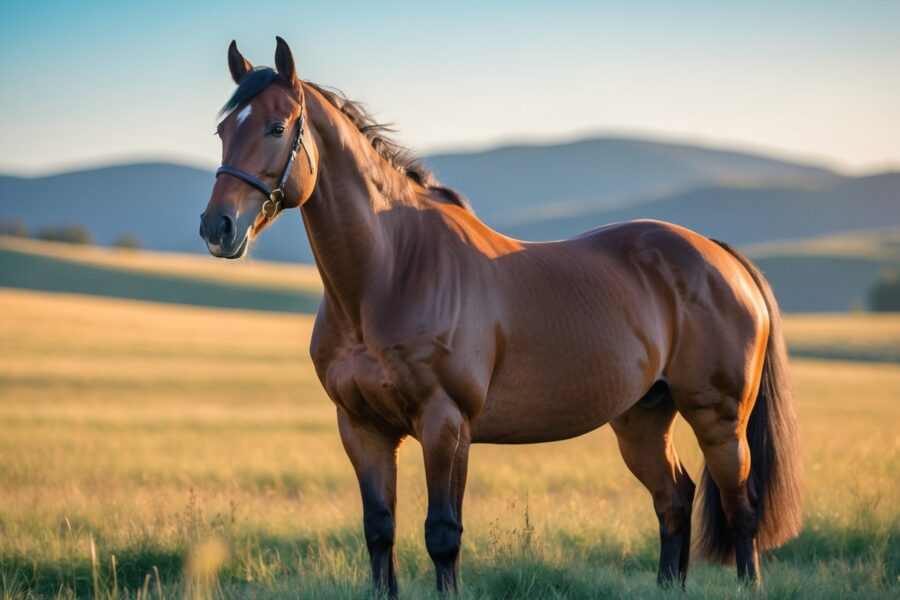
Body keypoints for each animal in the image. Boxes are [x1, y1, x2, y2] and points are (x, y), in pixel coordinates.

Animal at [200, 37, 803, 596]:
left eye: (277, 127)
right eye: (223, 130)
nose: (217, 227)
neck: (390, 274)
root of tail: (721, 256)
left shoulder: (446, 424)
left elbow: (442, 535)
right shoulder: (362, 428)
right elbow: (379, 531)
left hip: (719, 419)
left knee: (741, 507)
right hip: (643, 418)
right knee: (674, 500)